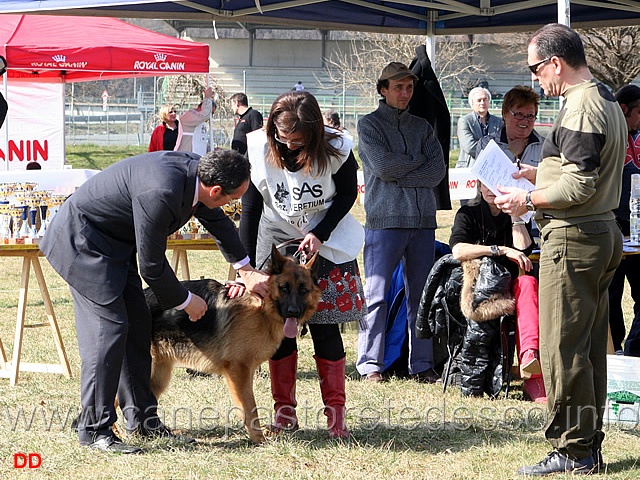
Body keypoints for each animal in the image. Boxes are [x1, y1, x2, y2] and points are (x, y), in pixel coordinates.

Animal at [148, 246, 322, 444]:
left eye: (303, 290)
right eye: (284, 288)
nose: (294, 312)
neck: (262, 307)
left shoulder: (245, 371)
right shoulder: (239, 369)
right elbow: (249, 406)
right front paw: (258, 438)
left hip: (159, 377)